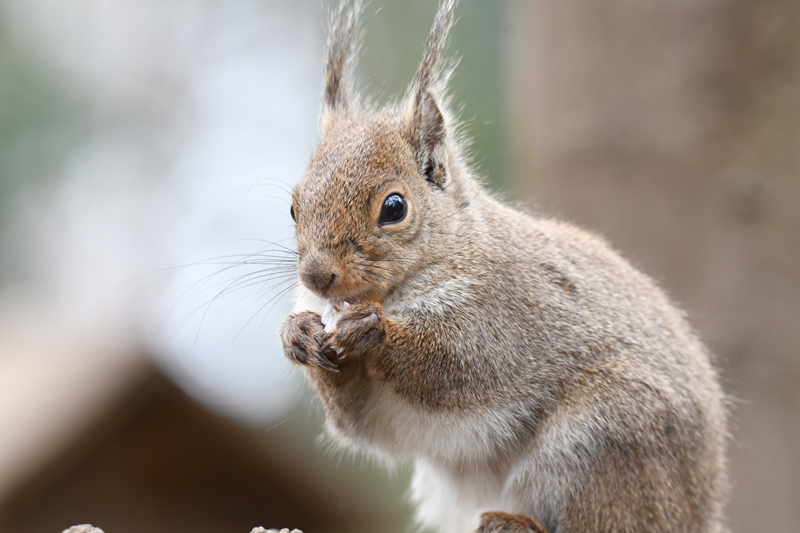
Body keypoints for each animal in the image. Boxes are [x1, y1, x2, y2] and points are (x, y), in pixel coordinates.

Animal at [278, 1, 728, 532]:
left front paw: (372, 329)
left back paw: (518, 521)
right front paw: (297, 335)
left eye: (394, 207)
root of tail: (700, 512)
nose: (316, 277)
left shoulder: (503, 315)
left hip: (605, 438)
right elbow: (358, 423)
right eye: (294, 208)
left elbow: (458, 363)